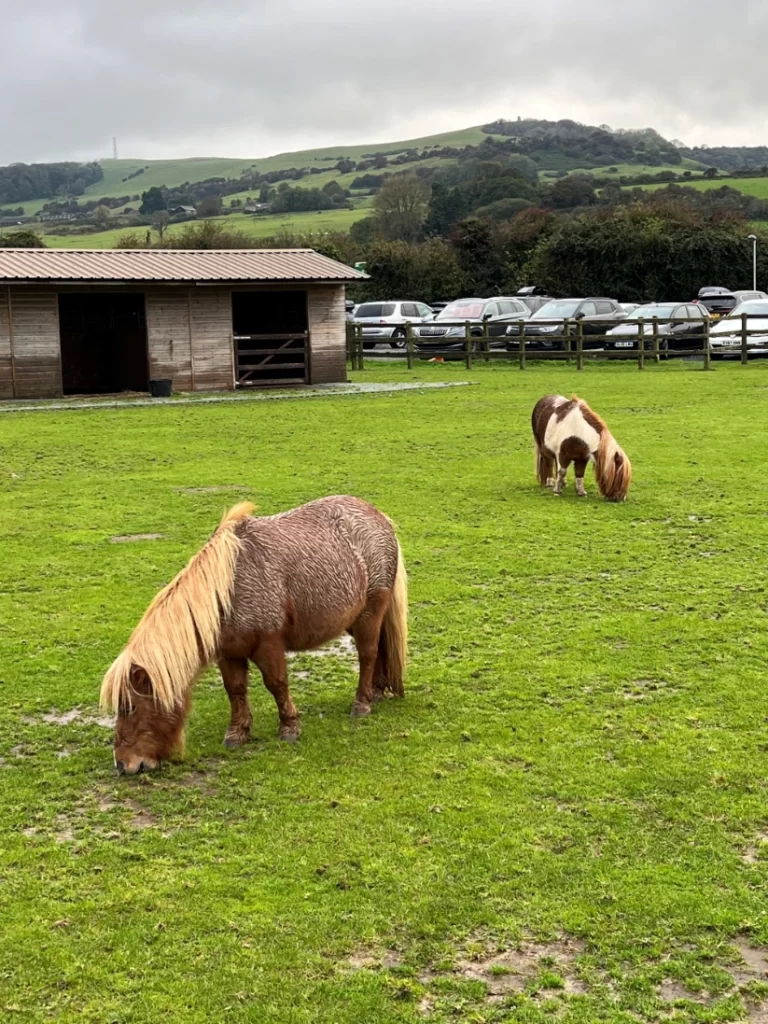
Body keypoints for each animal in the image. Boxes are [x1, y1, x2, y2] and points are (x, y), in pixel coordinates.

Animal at [100, 496, 408, 775]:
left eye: (130, 707)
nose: (123, 765)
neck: (228, 593)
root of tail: (379, 517)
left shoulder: (268, 645)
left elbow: (277, 684)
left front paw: (290, 728)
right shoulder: (229, 654)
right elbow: (235, 690)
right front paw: (237, 733)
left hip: (370, 612)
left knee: (368, 655)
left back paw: (362, 704)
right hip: (354, 619)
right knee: (381, 650)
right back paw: (377, 693)